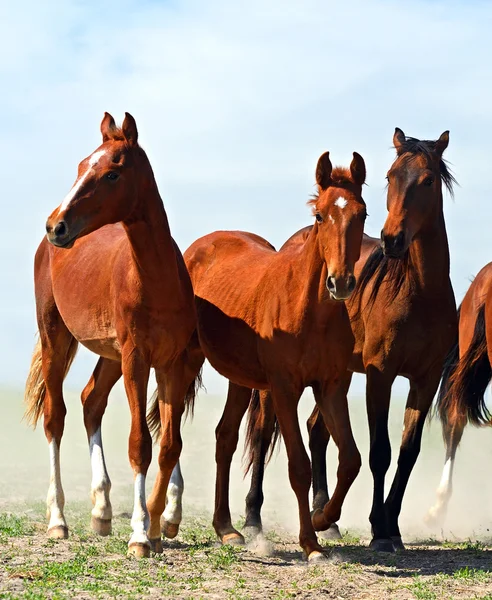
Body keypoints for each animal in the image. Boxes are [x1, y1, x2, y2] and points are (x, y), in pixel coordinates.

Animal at [23, 113, 202, 556]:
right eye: (80, 166)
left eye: (111, 173)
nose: (56, 225)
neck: (156, 280)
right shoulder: (137, 358)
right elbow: (140, 444)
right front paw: (139, 533)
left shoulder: (171, 363)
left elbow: (169, 444)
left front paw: (158, 525)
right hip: (56, 338)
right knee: (55, 417)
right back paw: (58, 520)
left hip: (109, 354)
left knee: (91, 401)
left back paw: (102, 512)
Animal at [148, 149, 368, 556]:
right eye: (320, 215)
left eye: (361, 214)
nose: (341, 282)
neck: (309, 310)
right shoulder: (284, 390)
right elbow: (299, 466)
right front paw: (310, 543)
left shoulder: (331, 388)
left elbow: (351, 460)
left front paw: (322, 519)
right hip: (186, 362)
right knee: (175, 427)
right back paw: (169, 519)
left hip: (239, 378)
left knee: (224, 439)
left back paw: (226, 527)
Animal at [238, 129, 458, 552]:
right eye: (390, 176)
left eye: (428, 180)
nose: (392, 239)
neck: (420, 293)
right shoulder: (380, 375)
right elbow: (380, 454)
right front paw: (379, 530)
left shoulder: (425, 380)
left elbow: (408, 453)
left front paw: (392, 526)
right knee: (262, 434)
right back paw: (255, 519)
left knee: (315, 429)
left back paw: (325, 516)